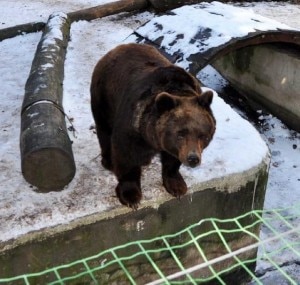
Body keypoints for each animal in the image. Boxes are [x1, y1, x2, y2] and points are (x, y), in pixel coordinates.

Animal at [89, 43, 216, 209]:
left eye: (203, 135)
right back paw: (108, 161)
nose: (193, 158)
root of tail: (119, 48)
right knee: (104, 129)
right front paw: (131, 196)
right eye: (181, 133)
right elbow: (126, 156)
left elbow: (172, 160)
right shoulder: (132, 125)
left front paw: (177, 186)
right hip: (104, 95)